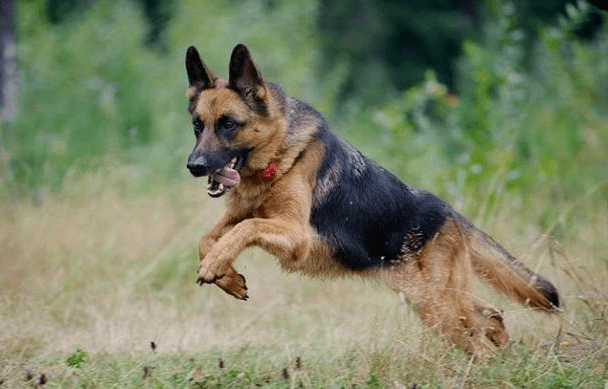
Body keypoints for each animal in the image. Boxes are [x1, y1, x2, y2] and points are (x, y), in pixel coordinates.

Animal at [184, 44, 560, 354]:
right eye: (197, 126)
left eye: (229, 124)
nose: (194, 166)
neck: (278, 156)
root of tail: (447, 211)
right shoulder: (238, 217)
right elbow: (208, 238)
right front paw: (226, 276)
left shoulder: (295, 234)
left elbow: (246, 228)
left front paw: (216, 266)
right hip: (429, 299)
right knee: (491, 316)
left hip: (437, 305)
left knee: (479, 339)